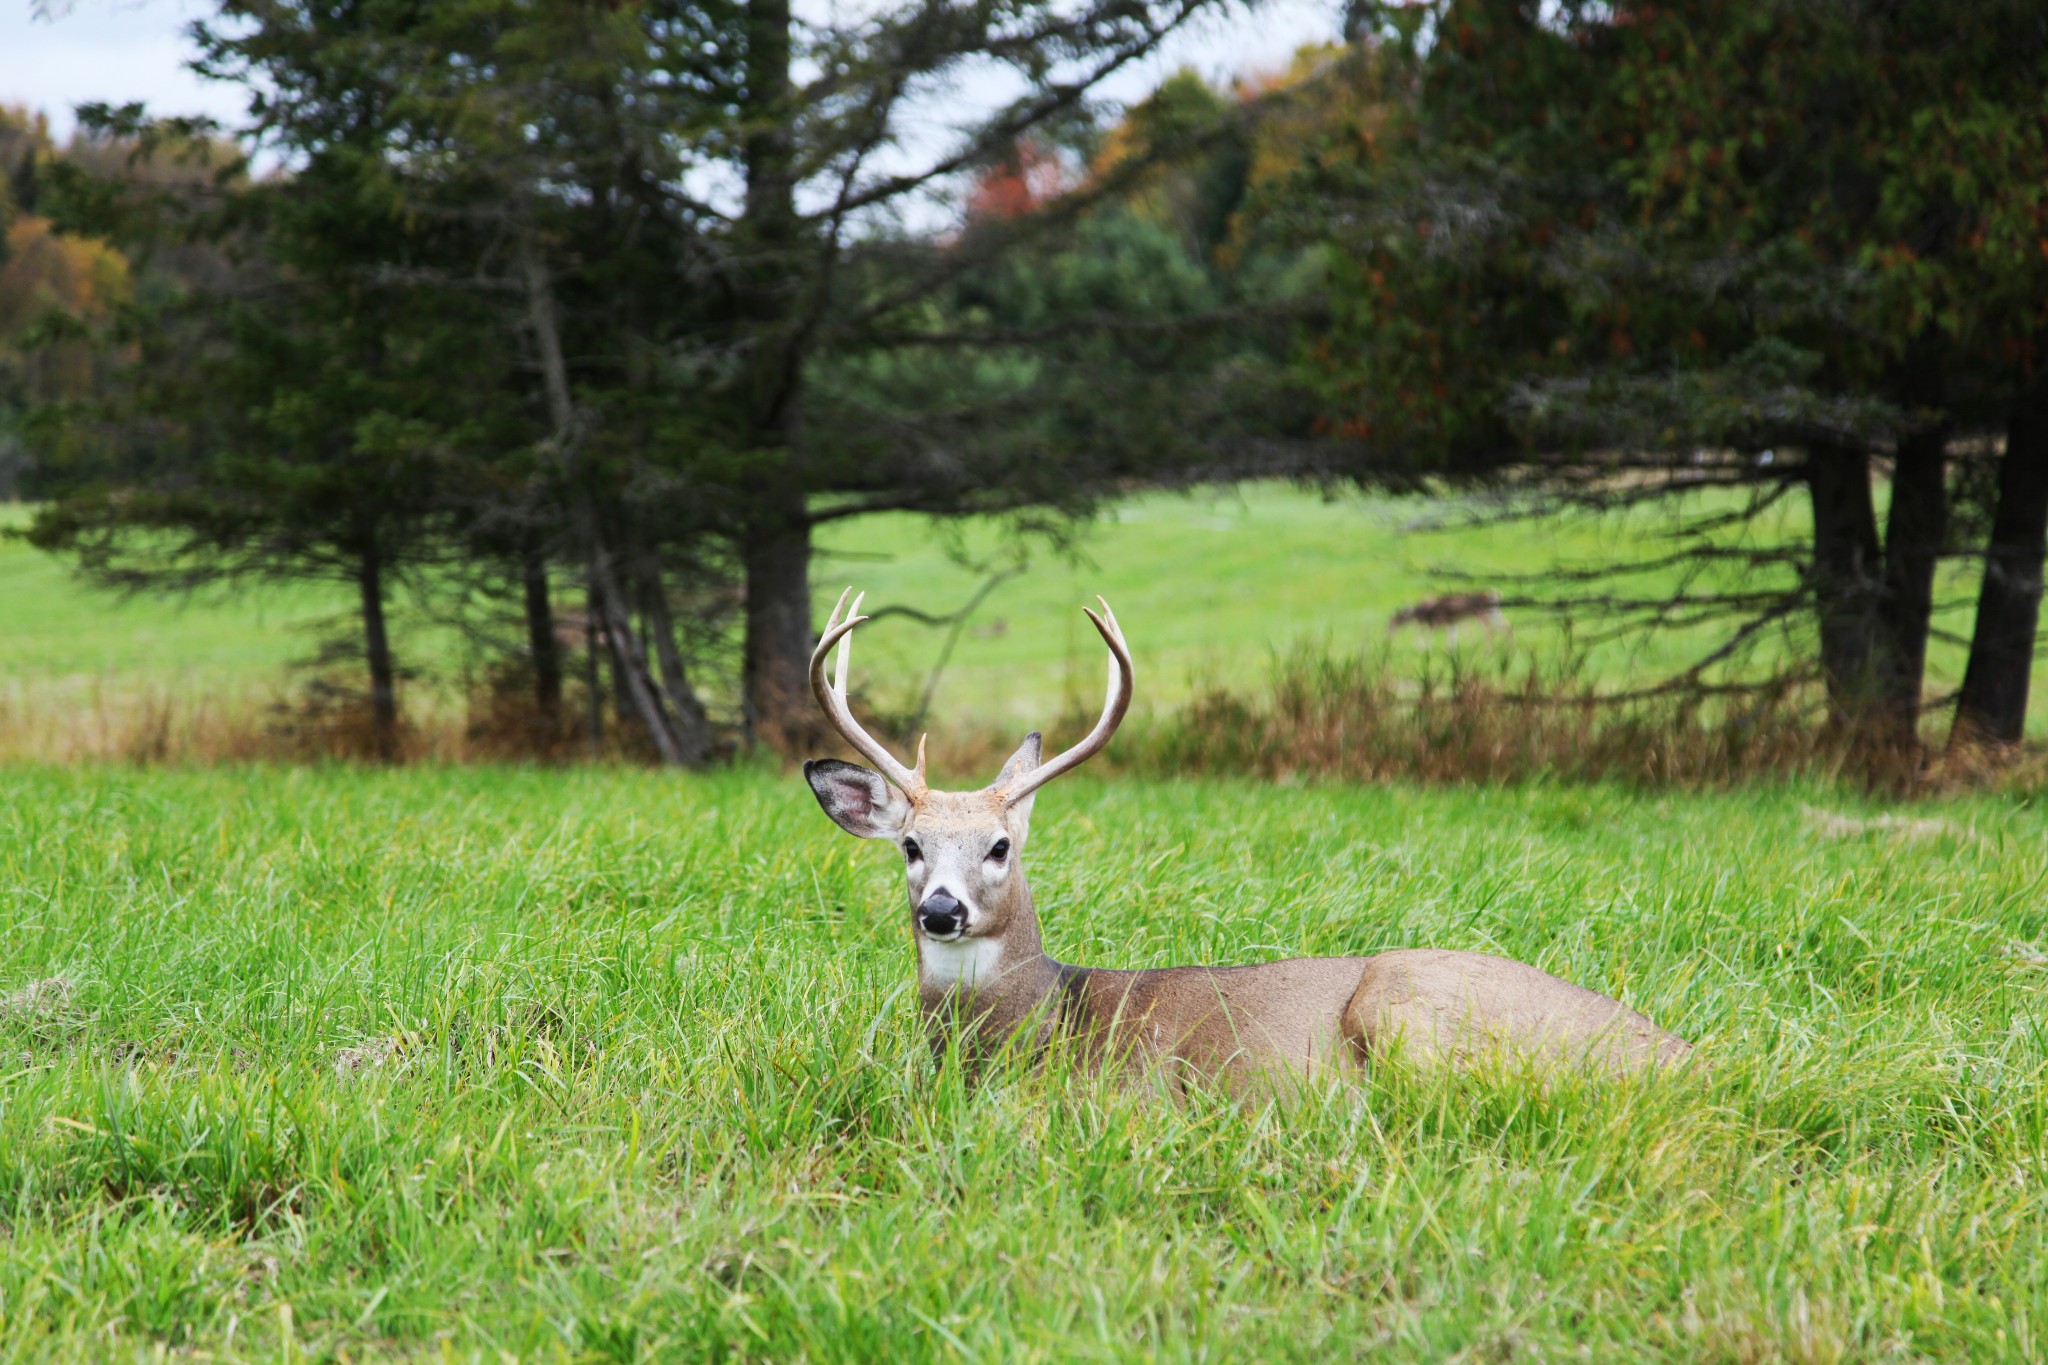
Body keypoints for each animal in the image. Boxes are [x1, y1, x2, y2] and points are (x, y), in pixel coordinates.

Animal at [798, 589, 1679, 1088]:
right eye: (911, 846)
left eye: (1000, 846)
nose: (941, 910)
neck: (1034, 1029)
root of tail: (1687, 1060)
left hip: (1407, 1006)